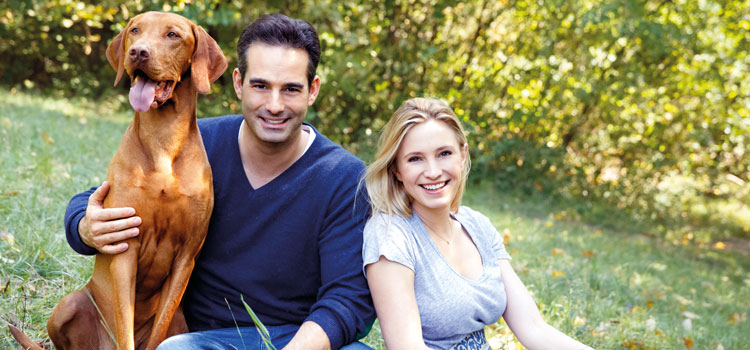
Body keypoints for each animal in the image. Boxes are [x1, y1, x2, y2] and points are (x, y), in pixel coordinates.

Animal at [8, 10, 228, 350]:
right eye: (135, 30)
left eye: (173, 35)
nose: (138, 52)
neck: (163, 139)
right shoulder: (125, 245)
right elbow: (125, 328)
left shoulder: (186, 256)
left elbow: (158, 332)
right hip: (69, 305)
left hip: (180, 321)